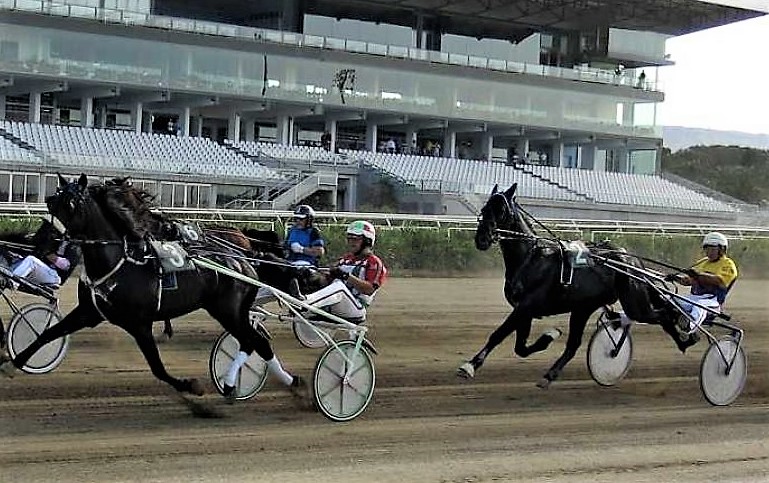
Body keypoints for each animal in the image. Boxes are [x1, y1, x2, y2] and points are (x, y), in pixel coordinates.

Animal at [0, 174, 296, 400]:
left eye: (71, 204)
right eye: (51, 201)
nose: (41, 239)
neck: (118, 263)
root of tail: (243, 262)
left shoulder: (139, 324)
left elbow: (157, 367)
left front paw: (190, 386)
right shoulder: (89, 312)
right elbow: (47, 334)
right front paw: (12, 364)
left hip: (228, 311)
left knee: (254, 341)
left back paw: (248, 383)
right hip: (232, 311)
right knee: (255, 342)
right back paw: (279, 384)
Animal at [456, 183, 624, 388]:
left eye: (501, 211)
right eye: (484, 209)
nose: (482, 239)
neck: (529, 260)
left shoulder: (526, 306)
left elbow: (499, 334)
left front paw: (470, 366)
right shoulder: (524, 309)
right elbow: (520, 347)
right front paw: (548, 337)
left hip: (584, 308)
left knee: (575, 343)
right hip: (581, 308)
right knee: (587, 335)